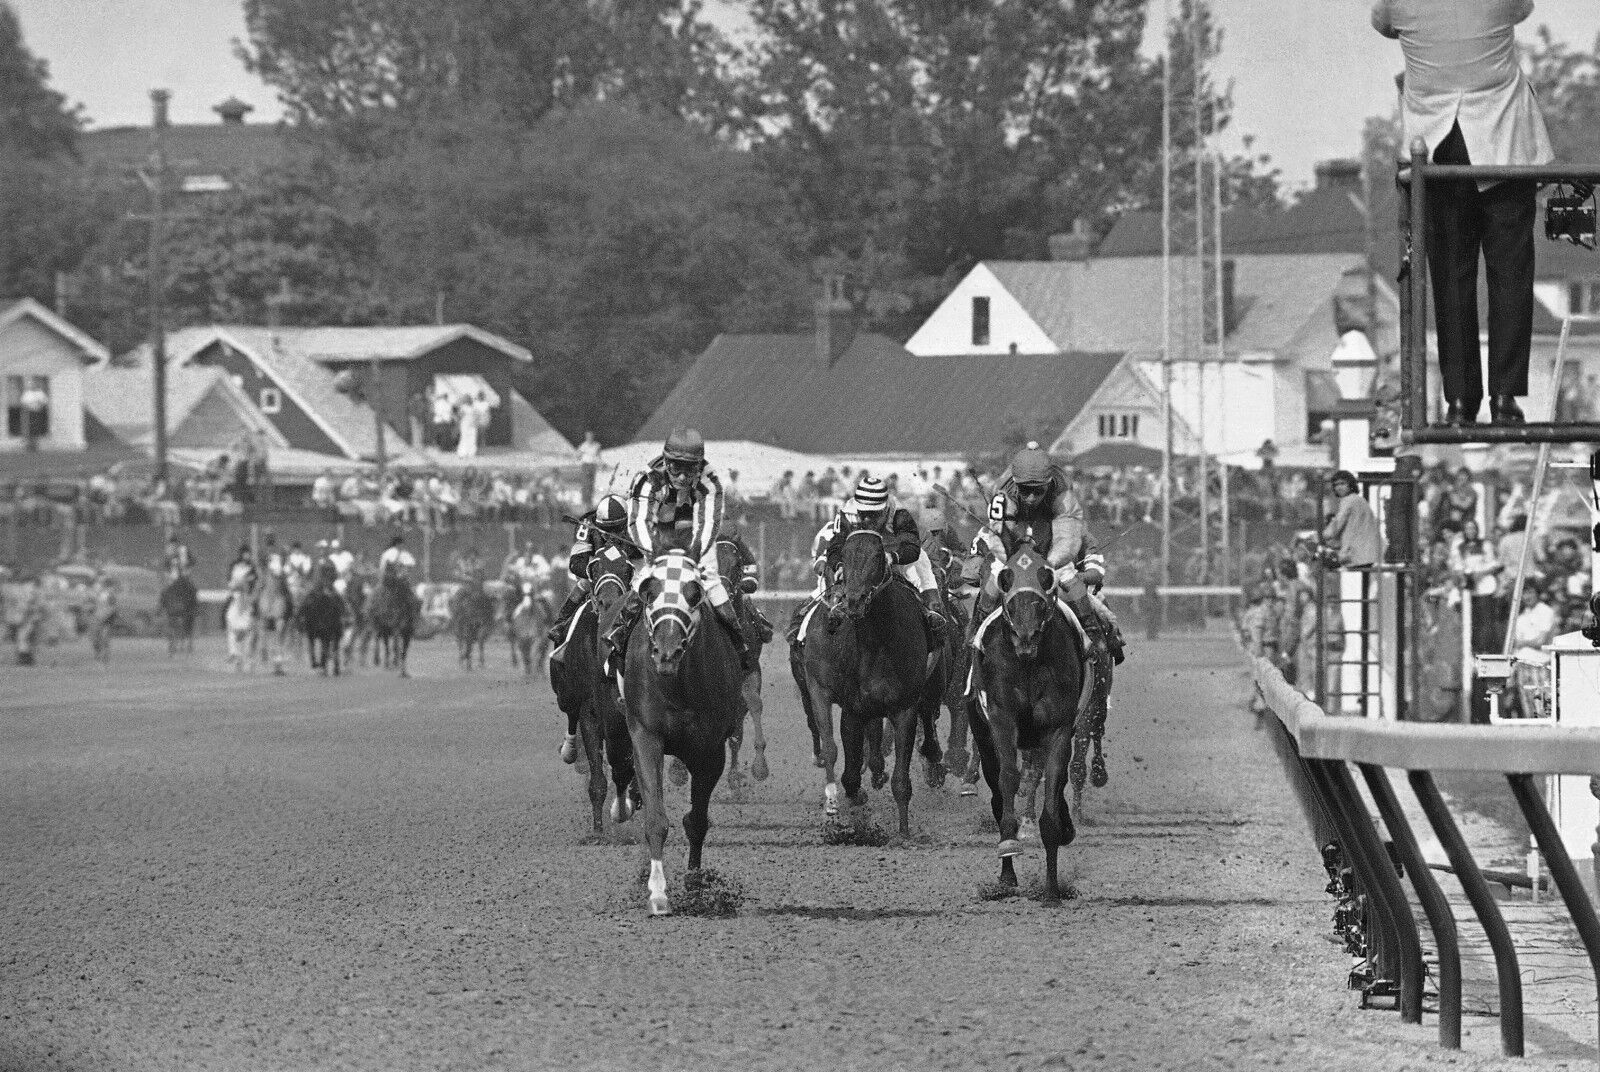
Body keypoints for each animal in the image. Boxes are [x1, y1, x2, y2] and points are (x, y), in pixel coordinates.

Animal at [550, 547, 636, 838]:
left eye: (628, 568)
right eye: (595, 566)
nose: (609, 602)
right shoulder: (591, 710)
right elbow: (598, 775)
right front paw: (598, 831)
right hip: (565, 694)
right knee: (570, 715)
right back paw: (571, 752)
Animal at [624, 553, 748, 915]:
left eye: (694, 594)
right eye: (649, 592)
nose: (667, 652)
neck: (676, 685)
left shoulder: (709, 749)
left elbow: (696, 821)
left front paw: (695, 887)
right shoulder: (646, 734)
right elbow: (655, 818)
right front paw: (658, 894)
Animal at [796, 528, 934, 838]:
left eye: (877, 556)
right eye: (845, 556)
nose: (854, 601)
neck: (875, 643)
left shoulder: (905, 706)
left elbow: (900, 778)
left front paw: (903, 831)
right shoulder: (844, 701)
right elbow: (841, 758)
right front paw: (844, 807)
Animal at [960, 540, 1088, 902]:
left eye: (1046, 577)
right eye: (1006, 577)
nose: (1026, 635)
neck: (1028, 663)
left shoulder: (1059, 727)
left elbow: (1052, 786)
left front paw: (1051, 888)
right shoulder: (1001, 719)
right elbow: (1008, 779)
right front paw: (1008, 849)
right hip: (982, 731)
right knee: (996, 788)